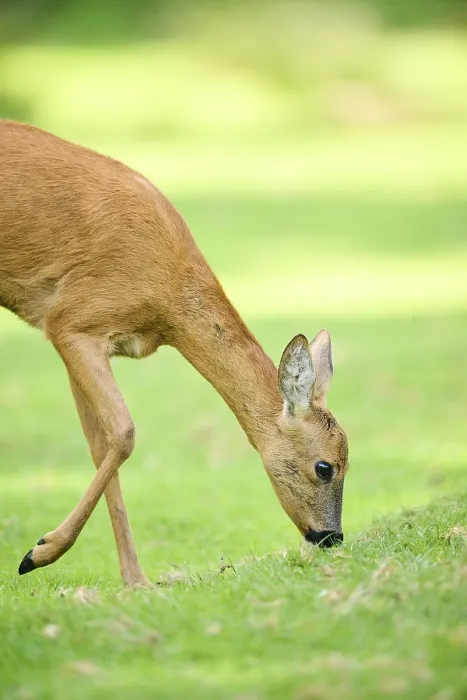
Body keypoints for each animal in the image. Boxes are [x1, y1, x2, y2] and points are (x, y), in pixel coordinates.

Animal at [0, 120, 349, 588]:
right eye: (324, 466)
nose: (331, 537)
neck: (168, 299)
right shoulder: (70, 319)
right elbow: (125, 433)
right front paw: (38, 553)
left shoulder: (80, 338)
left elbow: (100, 442)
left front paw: (137, 582)